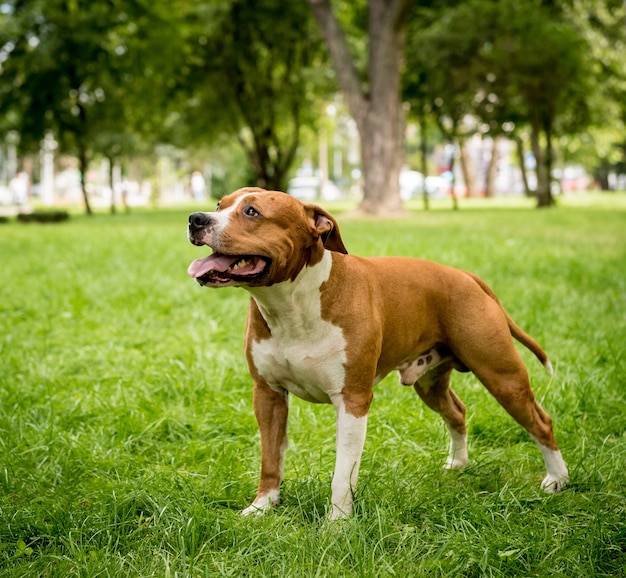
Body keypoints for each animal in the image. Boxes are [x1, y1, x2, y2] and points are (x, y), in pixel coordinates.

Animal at [184, 188, 564, 516]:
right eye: (219, 205)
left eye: (252, 212)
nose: (196, 218)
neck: (291, 304)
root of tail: (466, 275)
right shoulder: (268, 395)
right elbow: (270, 457)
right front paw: (262, 507)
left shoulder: (352, 400)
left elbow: (343, 473)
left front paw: (337, 525)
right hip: (431, 383)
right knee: (457, 411)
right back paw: (457, 464)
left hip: (502, 375)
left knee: (540, 421)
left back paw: (557, 479)